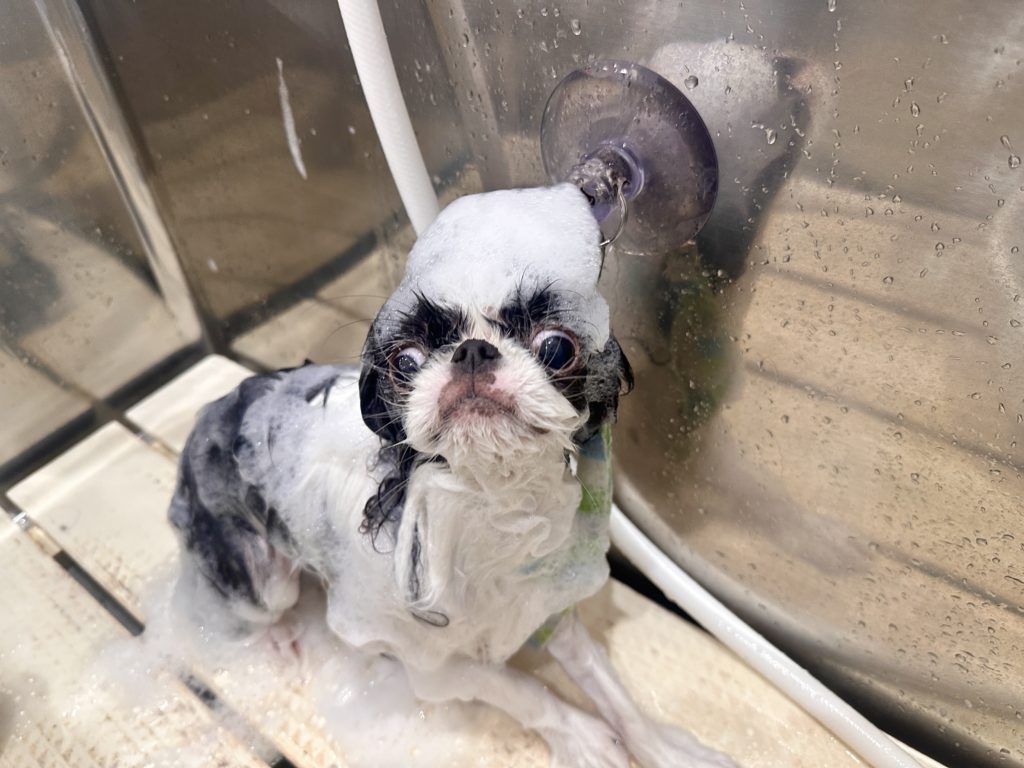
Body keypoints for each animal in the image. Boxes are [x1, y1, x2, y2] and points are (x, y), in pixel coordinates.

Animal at [169, 185, 738, 768]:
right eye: (406, 360)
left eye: (557, 346)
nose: (471, 351)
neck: (492, 501)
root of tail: (216, 408)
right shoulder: (435, 664)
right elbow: (526, 691)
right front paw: (583, 736)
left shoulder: (543, 604)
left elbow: (605, 681)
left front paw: (664, 748)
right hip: (264, 580)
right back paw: (279, 638)